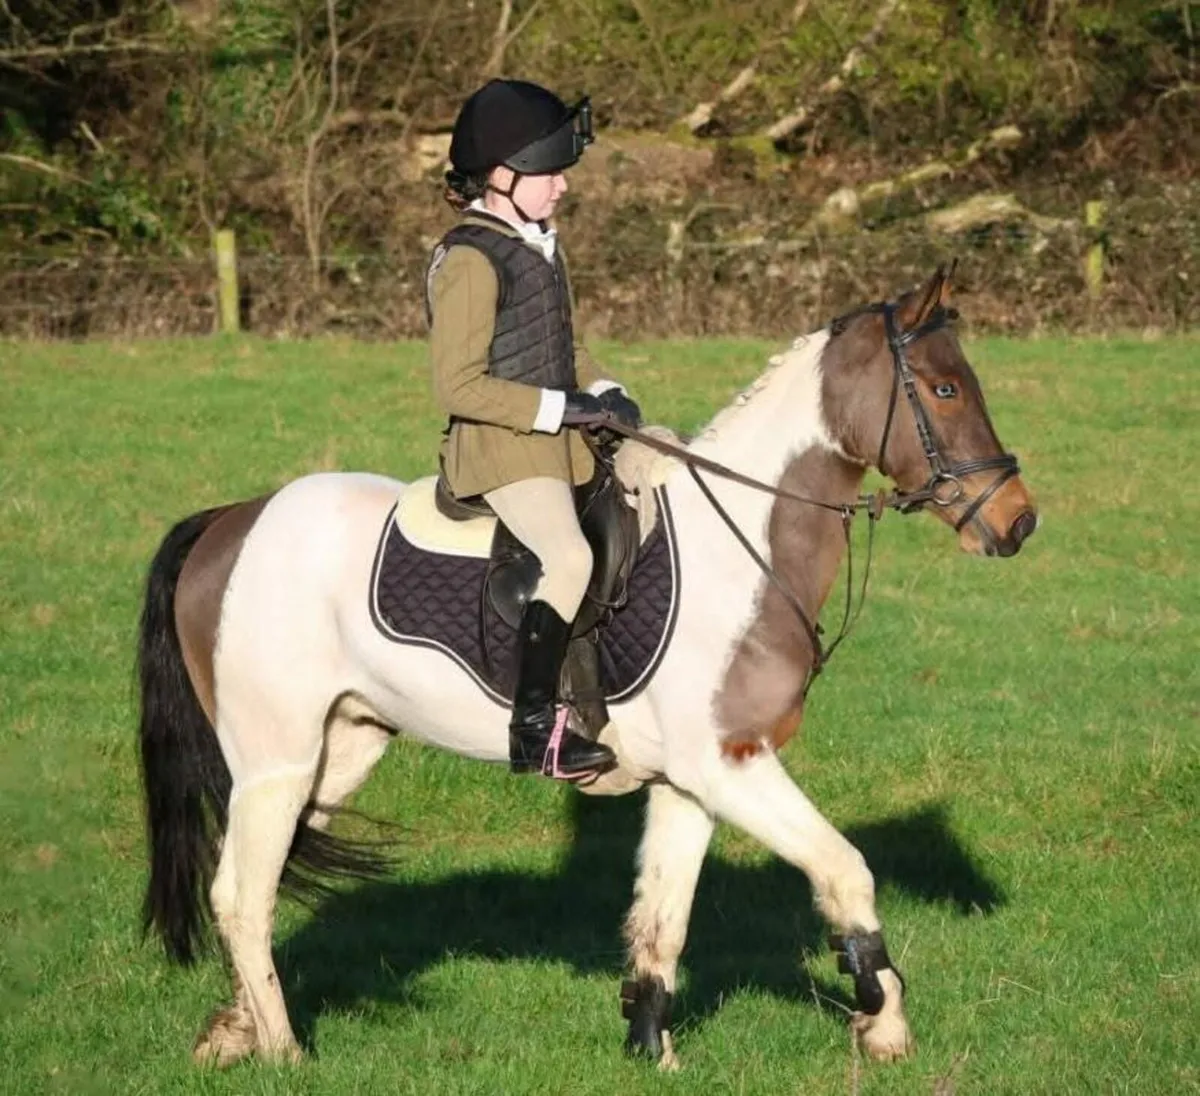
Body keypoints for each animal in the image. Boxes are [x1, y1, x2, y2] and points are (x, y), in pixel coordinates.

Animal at [136, 266, 1037, 1070]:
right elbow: (847, 871)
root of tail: (233, 520)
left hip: (341, 749)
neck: (742, 545)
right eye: (945, 390)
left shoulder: (692, 782)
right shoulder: (733, 764)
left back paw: (233, 1029)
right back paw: (282, 1049)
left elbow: (662, 920)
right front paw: (883, 1024)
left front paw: (651, 1046)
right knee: (241, 894)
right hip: (275, 761)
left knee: (258, 876)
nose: (1017, 522)